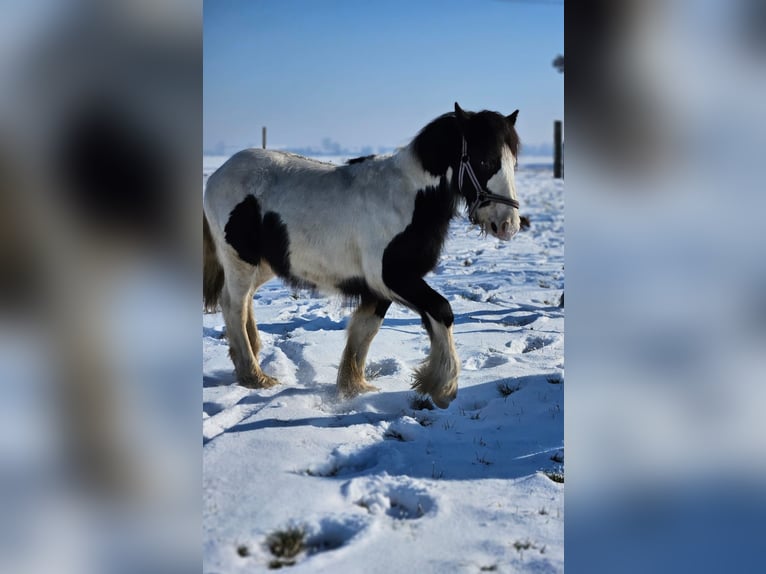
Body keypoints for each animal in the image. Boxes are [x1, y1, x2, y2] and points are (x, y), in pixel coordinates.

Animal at [202, 103, 520, 410]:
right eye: (484, 161)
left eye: (513, 163)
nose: (509, 225)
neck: (408, 198)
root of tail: (218, 174)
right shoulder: (393, 277)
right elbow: (442, 310)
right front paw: (443, 387)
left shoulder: (379, 288)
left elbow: (365, 331)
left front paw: (354, 386)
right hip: (240, 260)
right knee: (233, 305)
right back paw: (254, 375)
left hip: (263, 264)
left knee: (245, 301)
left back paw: (251, 357)